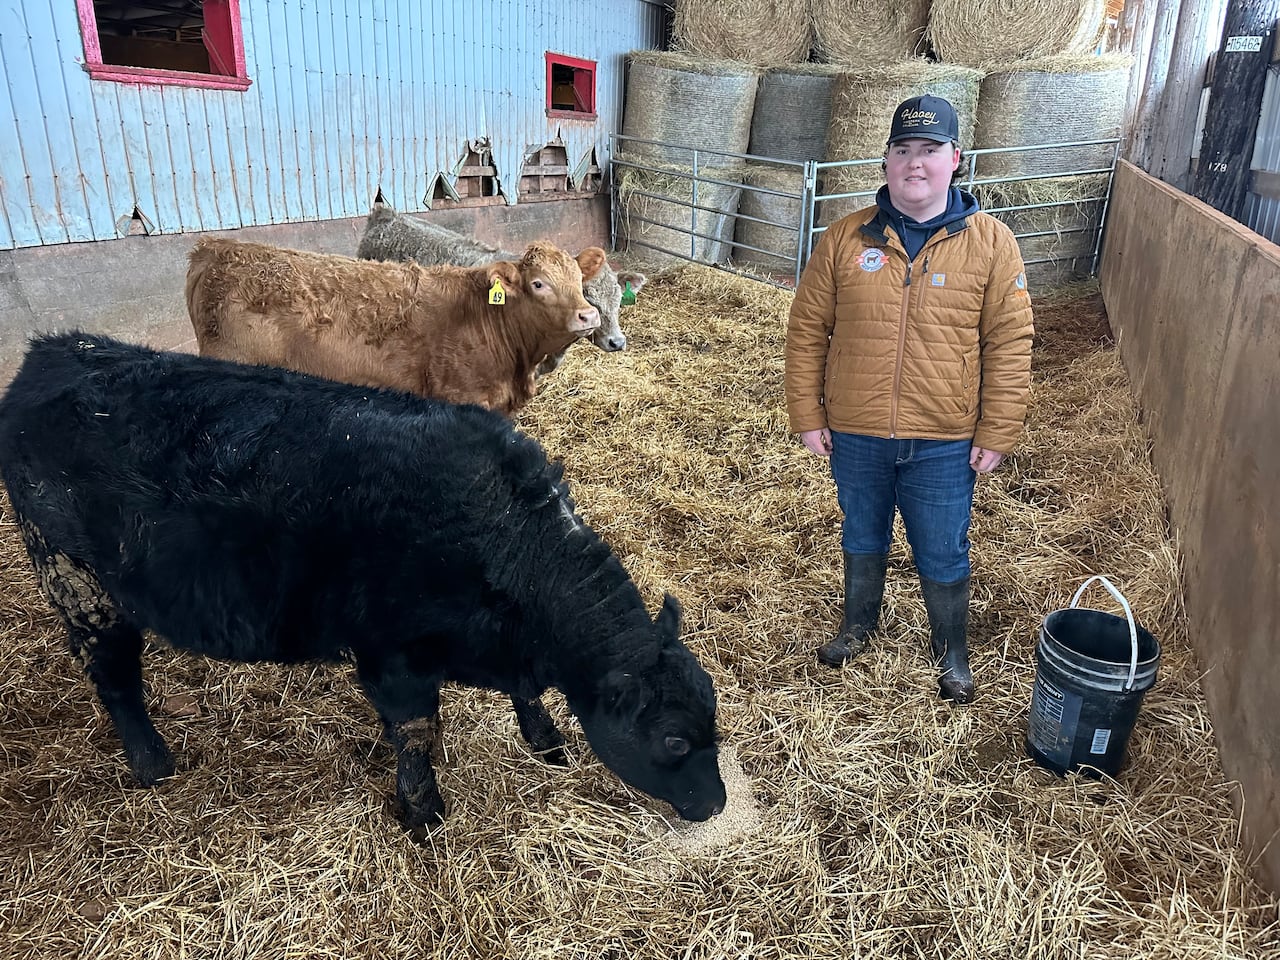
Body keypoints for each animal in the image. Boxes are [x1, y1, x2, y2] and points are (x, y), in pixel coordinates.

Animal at [0, 333, 726, 839]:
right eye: (674, 741)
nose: (718, 804)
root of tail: (56, 351)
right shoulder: (393, 654)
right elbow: (416, 731)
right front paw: (424, 813)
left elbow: (519, 698)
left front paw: (545, 742)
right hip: (77, 583)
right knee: (114, 677)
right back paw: (153, 764)